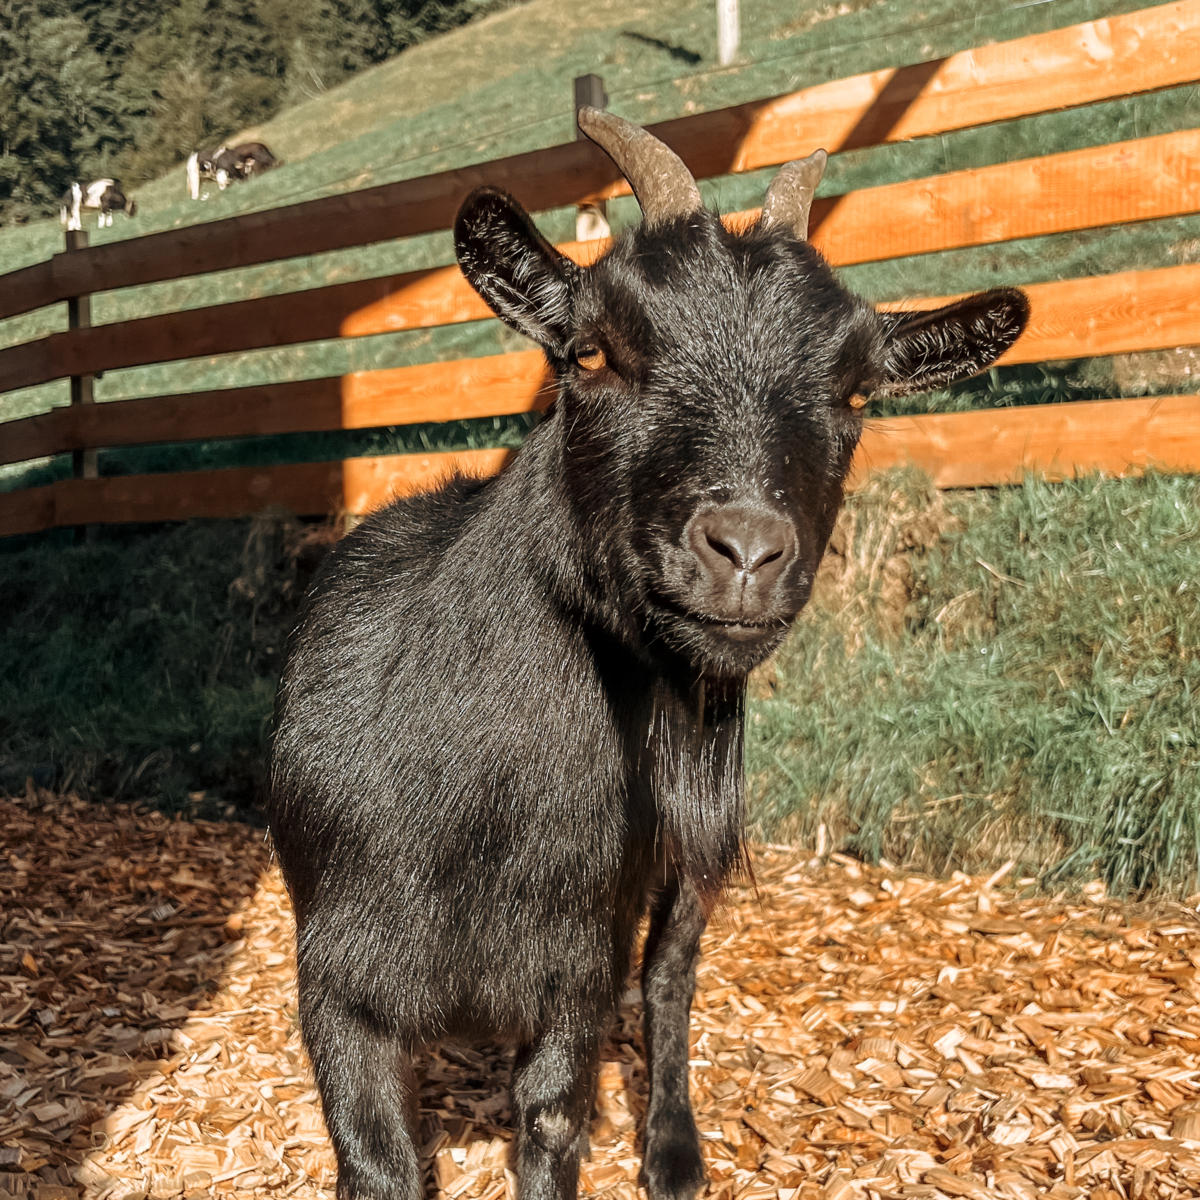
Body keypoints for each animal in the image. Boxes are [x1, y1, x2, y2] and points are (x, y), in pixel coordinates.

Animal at [270, 110, 1022, 1200]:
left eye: (857, 394)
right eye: (592, 354)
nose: (747, 552)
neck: (468, 820)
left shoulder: (575, 978)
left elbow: (555, 1127)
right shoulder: (336, 984)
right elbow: (377, 1162)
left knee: (670, 971)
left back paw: (672, 1146)